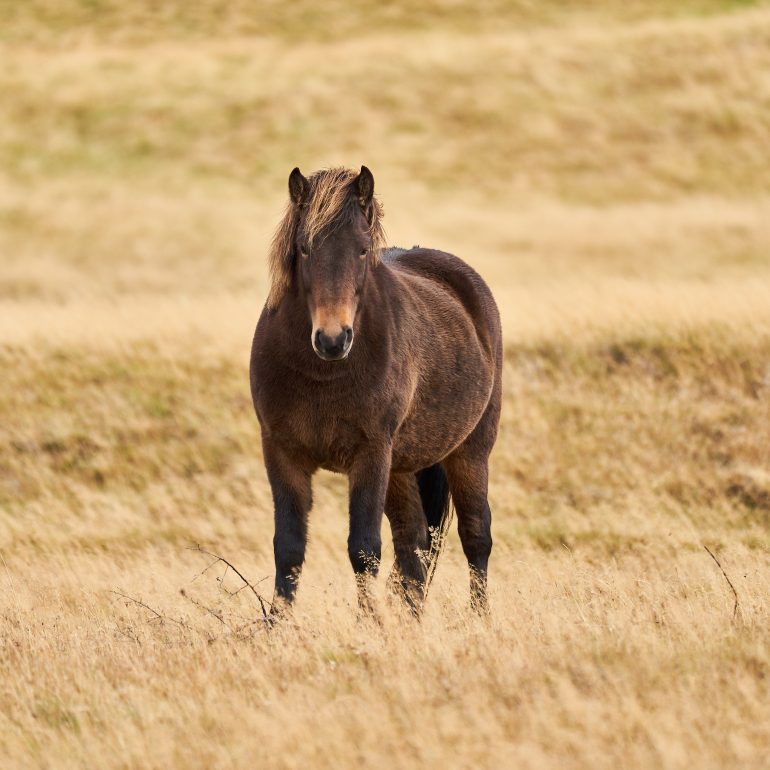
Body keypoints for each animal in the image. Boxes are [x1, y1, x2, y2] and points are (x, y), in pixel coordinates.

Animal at [250, 166, 502, 617]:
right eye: (304, 249)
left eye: (364, 250)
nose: (333, 339)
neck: (322, 376)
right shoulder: (281, 452)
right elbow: (289, 549)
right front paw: (276, 626)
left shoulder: (370, 455)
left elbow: (363, 550)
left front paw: (370, 625)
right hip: (401, 468)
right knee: (413, 543)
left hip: (469, 451)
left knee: (476, 536)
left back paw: (480, 620)